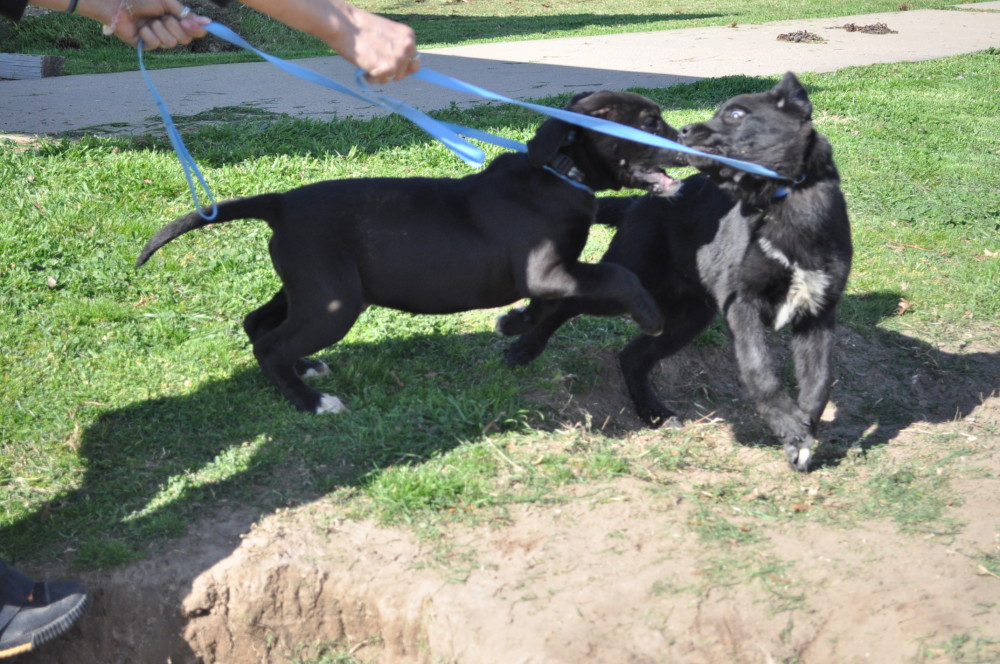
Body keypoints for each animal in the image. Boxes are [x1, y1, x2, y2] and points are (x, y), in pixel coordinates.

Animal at [137, 92, 684, 416]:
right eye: (650, 122)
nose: (687, 136)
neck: (560, 171)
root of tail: (281, 204)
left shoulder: (554, 275)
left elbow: (550, 304)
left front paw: (515, 326)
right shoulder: (548, 270)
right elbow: (615, 276)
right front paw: (652, 315)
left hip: (312, 286)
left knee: (259, 323)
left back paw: (305, 369)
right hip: (333, 303)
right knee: (270, 345)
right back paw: (311, 401)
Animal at [500, 74, 852, 472]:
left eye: (735, 114)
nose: (683, 131)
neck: (782, 203)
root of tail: (637, 204)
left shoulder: (817, 314)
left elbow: (819, 382)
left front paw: (802, 435)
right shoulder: (742, 305)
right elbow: (760, 371)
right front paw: (787, 424)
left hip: (687, 318)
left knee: (632, 357)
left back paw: (653, 412)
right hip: (633, 282)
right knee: (568, 303)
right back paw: (523, 341)